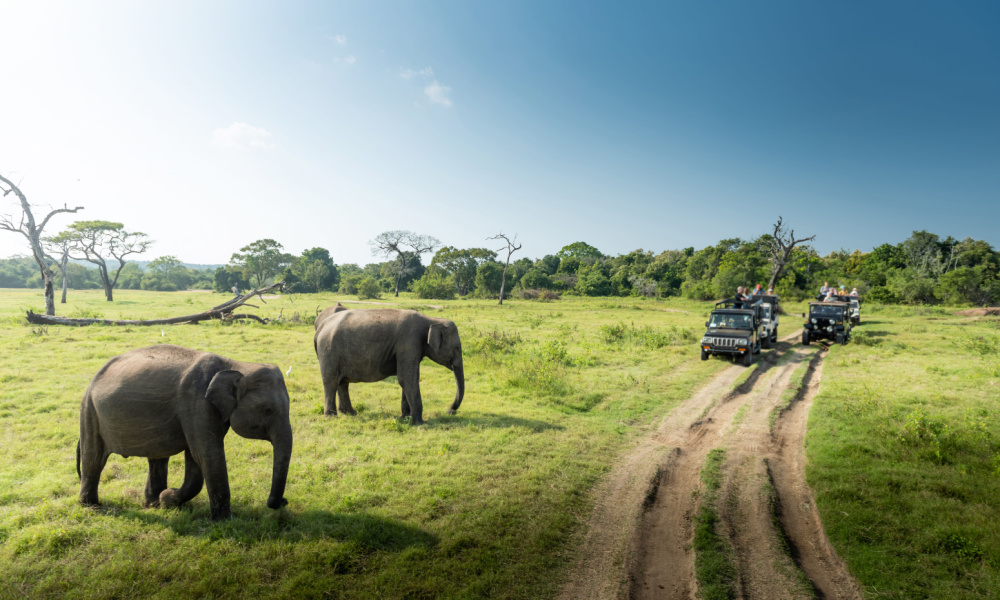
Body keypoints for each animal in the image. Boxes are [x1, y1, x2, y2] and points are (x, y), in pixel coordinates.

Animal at [76, 344, 292, 524]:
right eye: (267, 410)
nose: (284, 501)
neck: (235, 365)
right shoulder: (196, 402)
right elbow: (206, 454)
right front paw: (223, 522)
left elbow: (195, 458)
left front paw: (167, 499)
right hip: (89, 411)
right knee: (93, 459)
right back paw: (91, 507)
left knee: (157, 458)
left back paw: (153, 504)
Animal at [314, 304, 466, 426]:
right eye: (457, 348)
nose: (450, 411)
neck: (431, 320)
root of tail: (320, 327)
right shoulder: (409, 343)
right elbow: (407, 379)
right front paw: (419, 423)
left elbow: (409, 379)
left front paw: (405, 418)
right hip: (329, 350)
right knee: (331, 381)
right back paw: (331, 417)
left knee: (342, 382)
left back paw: (350, 413)